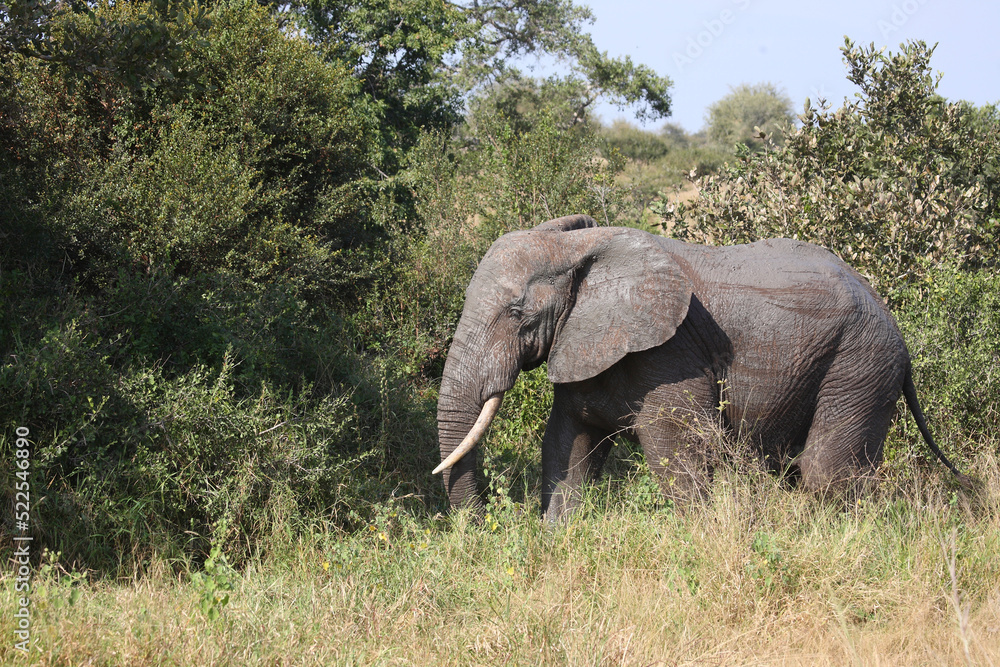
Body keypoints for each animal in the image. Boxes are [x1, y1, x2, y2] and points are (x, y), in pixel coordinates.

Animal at [434, 214, 965, 521]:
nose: (483, 525)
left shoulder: (669, 354)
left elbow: (676, 453)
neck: (580, 247)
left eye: (516, 313)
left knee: (824, 472)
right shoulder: (583, 341)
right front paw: (557, 538)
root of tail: (891, 319)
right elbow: (568, 448)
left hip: (860, 366)